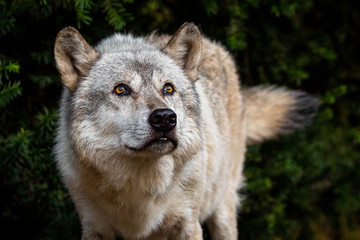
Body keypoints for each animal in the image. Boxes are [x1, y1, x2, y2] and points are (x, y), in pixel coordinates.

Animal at [52, 23, 318, 240]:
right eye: (121, 89)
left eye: (168, 89)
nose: (165, 118)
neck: (142, 188)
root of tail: (215, 45)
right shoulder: (94, 227)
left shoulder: (188, 224)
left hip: (223, 209)